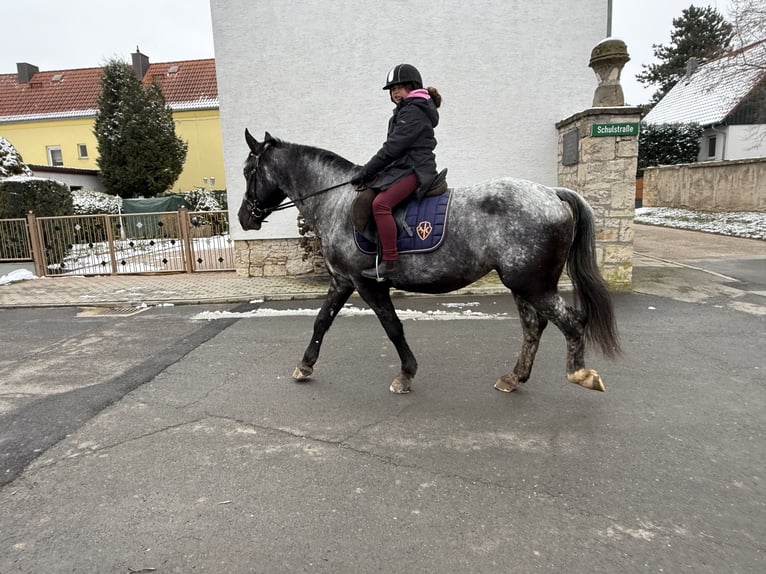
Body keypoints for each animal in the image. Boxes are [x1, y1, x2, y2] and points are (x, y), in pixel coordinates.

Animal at [240, 130, 624, 396]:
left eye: (248, 171)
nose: (245, 218)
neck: (337, 201)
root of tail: (551, 193)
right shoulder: (343, 281)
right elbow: (321, 322)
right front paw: (304, 366)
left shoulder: (367, 282)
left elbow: (392, 326)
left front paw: (406, 374)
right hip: (523, 284)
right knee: (534, 327)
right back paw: (513, 378)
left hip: (533, 284)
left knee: (571, 322)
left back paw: (581, 374)